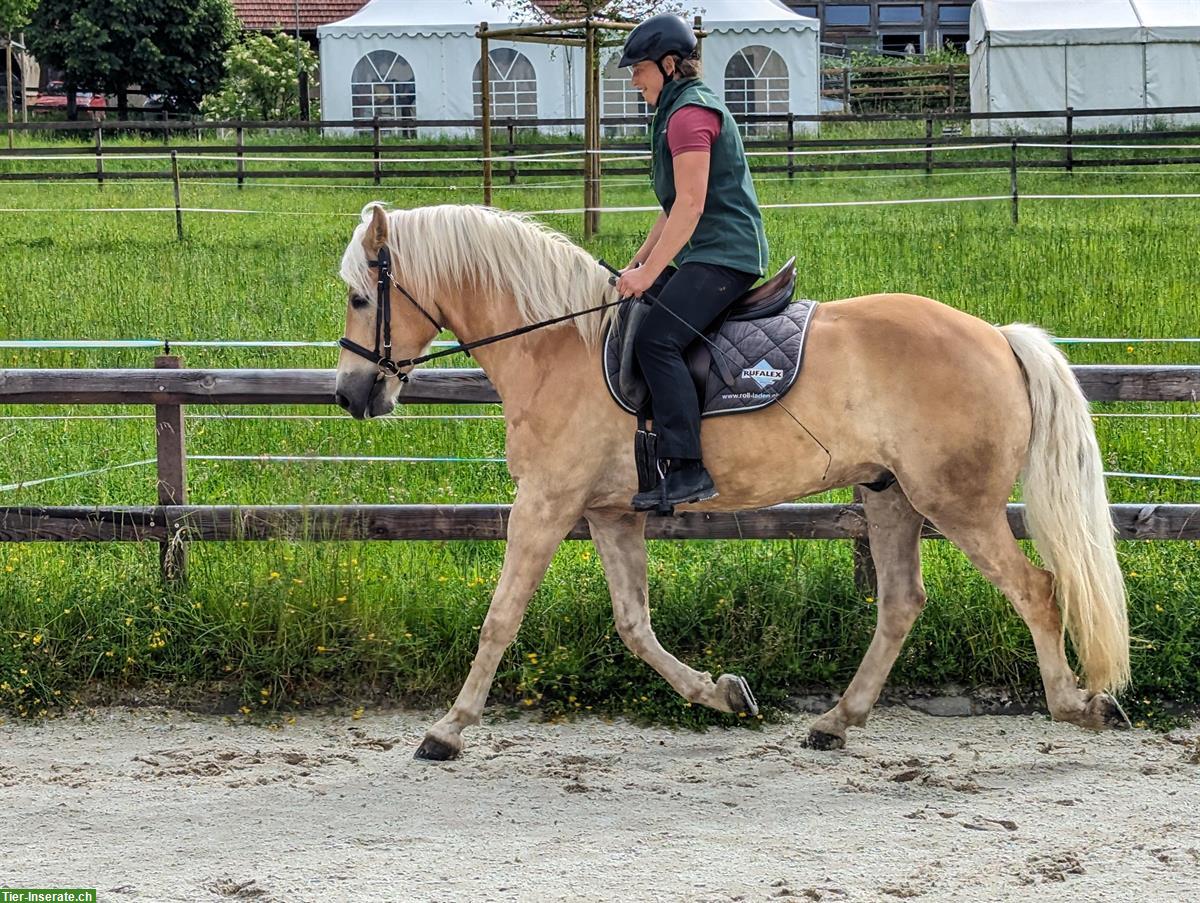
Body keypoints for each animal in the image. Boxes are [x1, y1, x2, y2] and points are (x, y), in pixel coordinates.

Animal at [333, 200, 1128, 758]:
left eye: (359, 298)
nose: (351, 396)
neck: (557, 344)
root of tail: (998, 336)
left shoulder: (547, 502)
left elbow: (501, 617)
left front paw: (447, 728)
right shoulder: (611, 512)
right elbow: (634, 624)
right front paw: (722, 693)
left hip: (956, 502)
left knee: (1036, 590)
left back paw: (1078, 704)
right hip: (891, 496)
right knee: (901, 603)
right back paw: (836, 720)